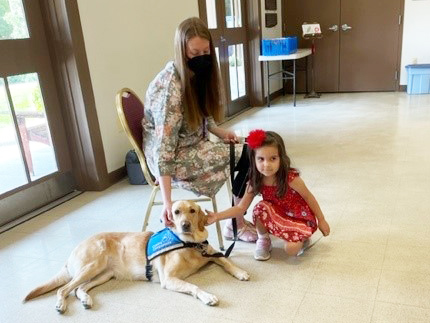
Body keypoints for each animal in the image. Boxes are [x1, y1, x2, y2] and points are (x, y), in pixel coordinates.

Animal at [23, 201, 250, 312]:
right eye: (176, 212)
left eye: (192, 211)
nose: (185, 225)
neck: (189, 243)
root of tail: (72, 251)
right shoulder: (169, 279)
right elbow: (194, 287)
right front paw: (208, 296)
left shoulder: (210, 253)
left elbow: (225, 260)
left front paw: (240, 272)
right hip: (93, 265)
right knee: (64, 289)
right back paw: (61, 304)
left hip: (103, 274)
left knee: (79, 289)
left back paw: (86, 300)